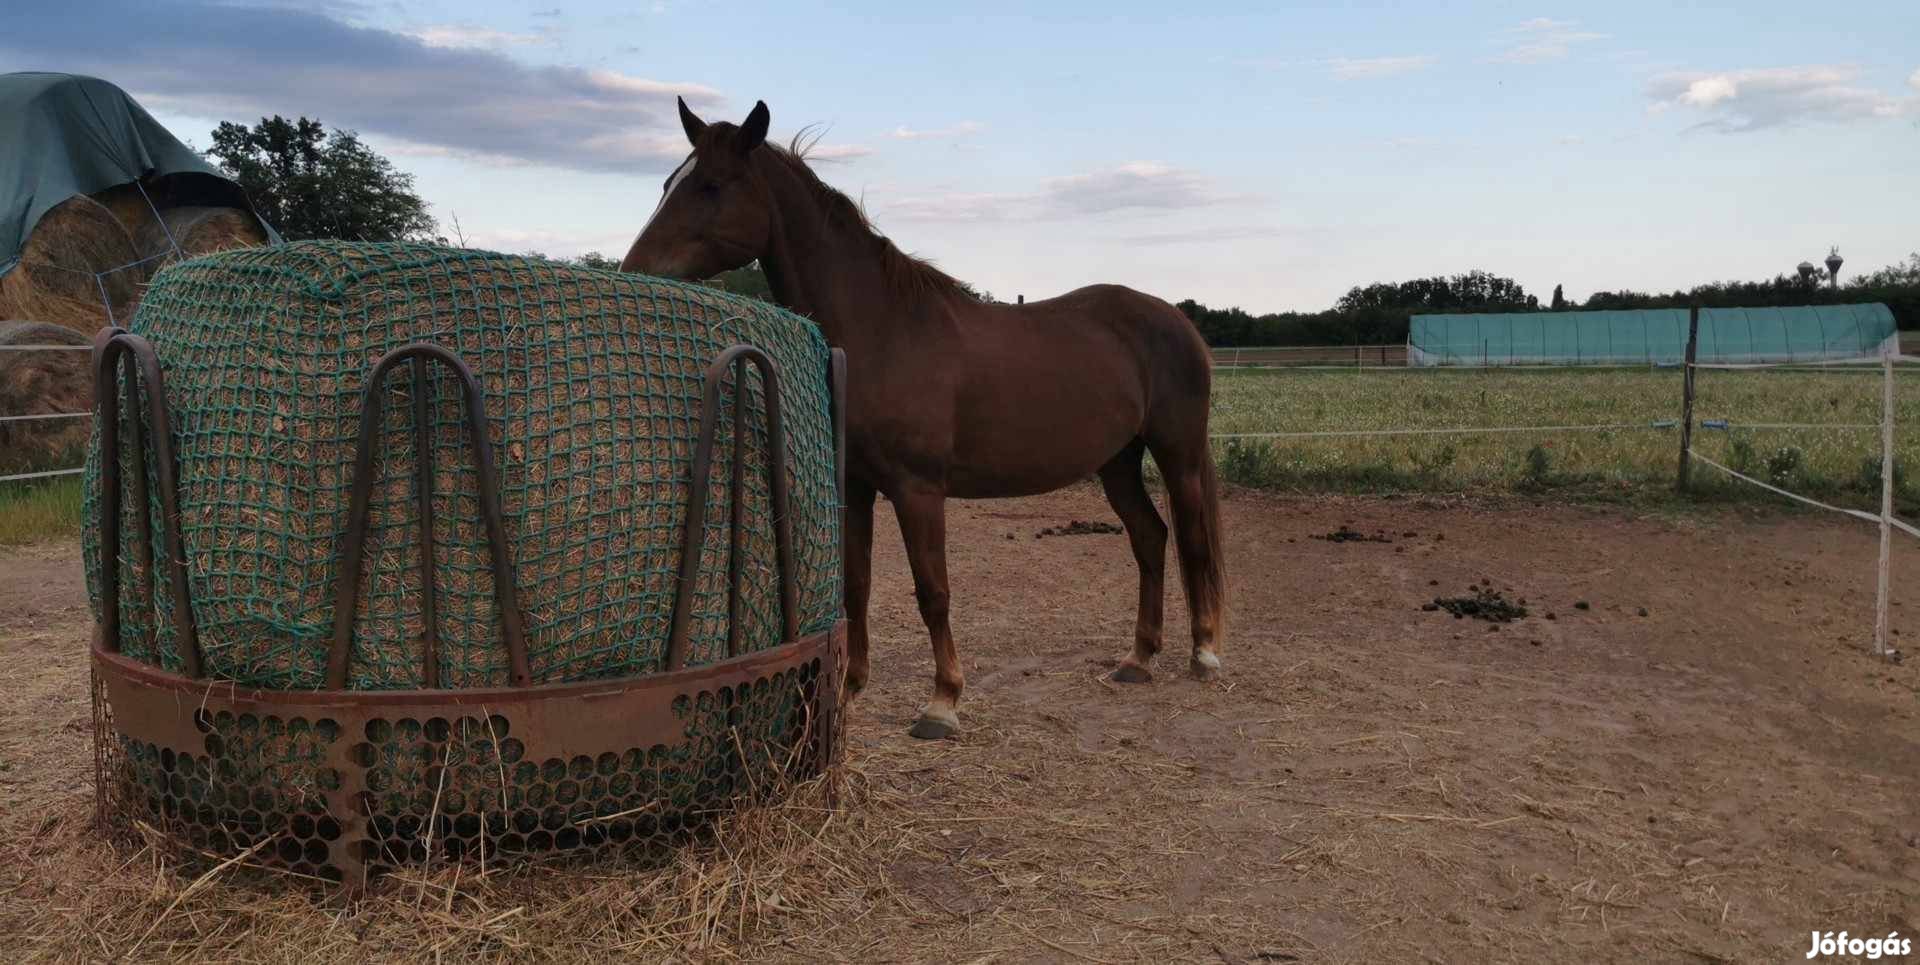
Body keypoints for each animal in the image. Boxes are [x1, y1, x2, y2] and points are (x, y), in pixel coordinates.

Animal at [629, 98, 1228, 740]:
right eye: (667, 183)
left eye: (712, 185)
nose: (633, 269)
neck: (885, 329)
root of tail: (1176, 320)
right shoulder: (858, 486)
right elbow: (858, 585)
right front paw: (851, 688)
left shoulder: (918, 490)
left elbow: (932, 590)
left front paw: (942, 702)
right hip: (1117, 463)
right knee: (1149, 538)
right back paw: (1138, 659)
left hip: (1178, 456)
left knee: (1191, 542)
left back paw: (1204, 654)